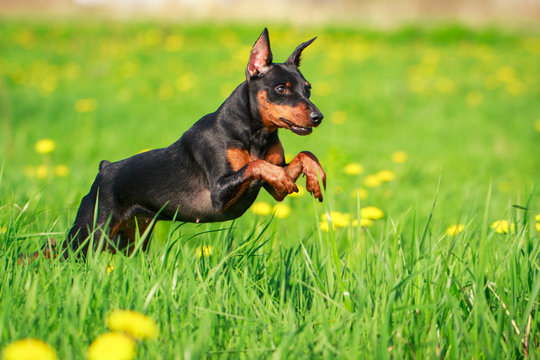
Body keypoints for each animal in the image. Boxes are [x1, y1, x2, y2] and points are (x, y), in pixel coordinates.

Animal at [63, 29, 324, 258]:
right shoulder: (218, 194)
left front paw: (315, 177)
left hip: (128, 239)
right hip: (88, 233)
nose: (318, 117)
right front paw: (286, 175)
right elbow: (255, 165)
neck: (255, 134)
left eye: (308, 89)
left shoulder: (275, 191)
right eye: (281, 89)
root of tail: (105, 168)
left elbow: (304, 154)